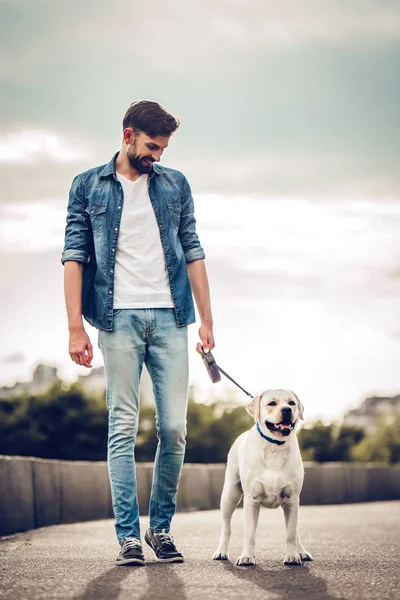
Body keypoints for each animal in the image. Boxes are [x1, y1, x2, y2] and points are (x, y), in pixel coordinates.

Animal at [212, 390, 312, 568]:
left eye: (292, 403)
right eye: (271, 403)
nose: (287, 410)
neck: (275, 447)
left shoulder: (292, 499)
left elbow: (291, 533)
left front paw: (292, 556)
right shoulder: (251, 500)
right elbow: (250, 533)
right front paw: (247, 557)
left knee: (294, 530)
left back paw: (300, 551)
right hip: (230, 495)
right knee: (226, 526)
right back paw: (221, 551)